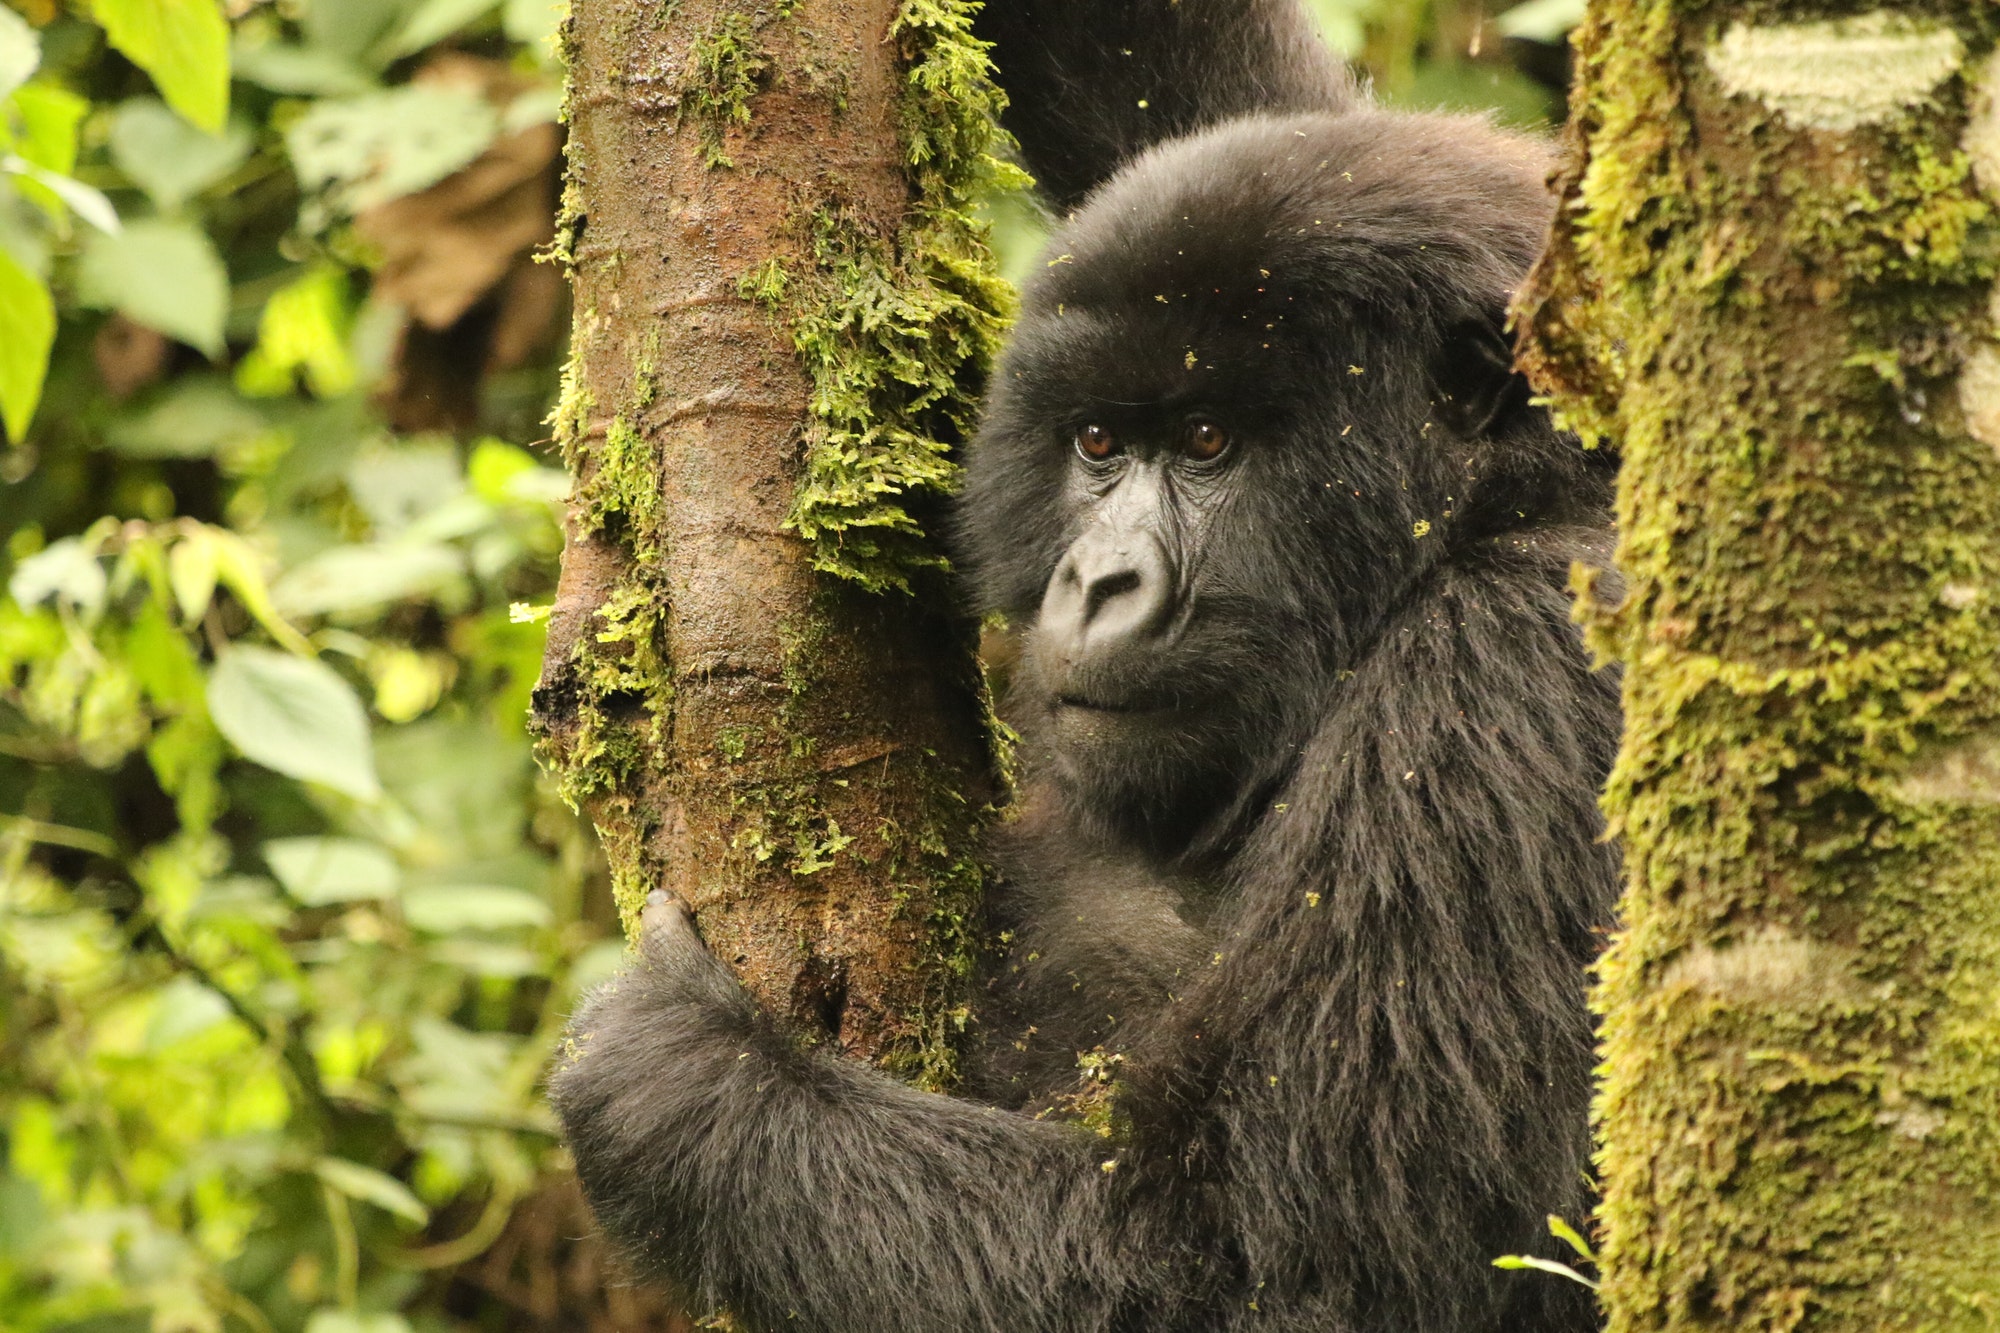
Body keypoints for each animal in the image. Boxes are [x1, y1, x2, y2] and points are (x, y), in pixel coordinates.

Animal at [548, 5, 1624, 1320]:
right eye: (1098, 444)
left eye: (1207, 441)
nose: (1095, 584)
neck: (1499, 505)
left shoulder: (1512, 663)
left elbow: (1283, 1271)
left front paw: (686, 1081)